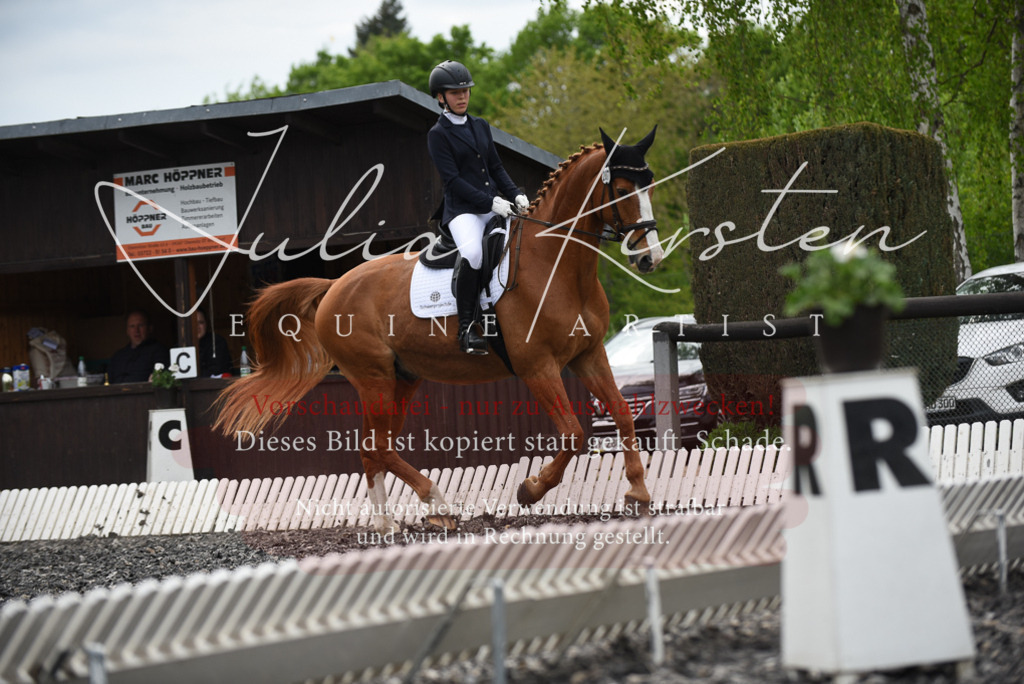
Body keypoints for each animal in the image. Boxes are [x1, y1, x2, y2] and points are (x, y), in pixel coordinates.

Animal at [214, 127, 664, 534]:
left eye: (650, 185)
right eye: (622, 188)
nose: (651, 259)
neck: (557, 264)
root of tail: (334, 286)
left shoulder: (589, 354)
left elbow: (622, 413)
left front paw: (638, 493)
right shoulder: (538, 366)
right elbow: (573, 434)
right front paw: (530, 489)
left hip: (401, 380)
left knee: (375, 447)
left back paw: (388, 523)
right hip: (373, 378)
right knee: (377, 445)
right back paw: (437, 502)